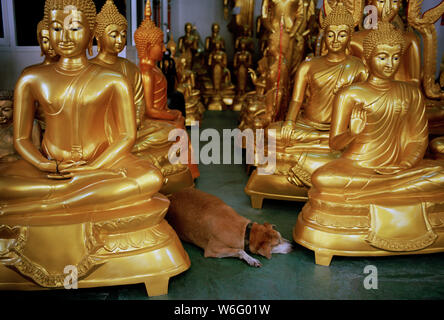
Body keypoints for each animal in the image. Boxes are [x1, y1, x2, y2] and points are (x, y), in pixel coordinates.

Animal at [165, 189, 294, 266]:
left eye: (281, 237)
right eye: (277, 243)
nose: (294, 245)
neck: (246, 232)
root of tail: (171, 196)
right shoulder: (212, 250)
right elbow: (240, 250)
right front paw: (251, 259)